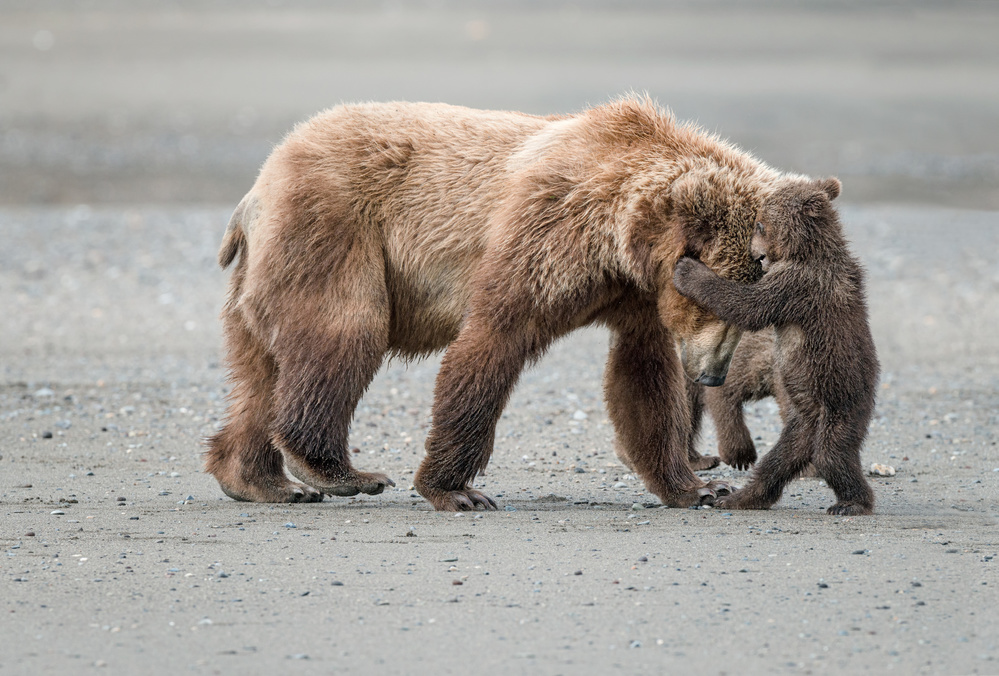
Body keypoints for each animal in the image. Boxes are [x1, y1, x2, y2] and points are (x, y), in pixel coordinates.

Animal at [207, 97, 808, 510]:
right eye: (719, 306)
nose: (711, 375)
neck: (620, 235)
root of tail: (257, 188)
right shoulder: (548, 227)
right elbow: (495, 337)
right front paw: (458, 490)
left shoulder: (636, 295)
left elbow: (643, 376)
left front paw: (695, 486)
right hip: (334, 229)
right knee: (346, 332)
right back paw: (340, 472)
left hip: (263, 275)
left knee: (260, 372)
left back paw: (259, 479)